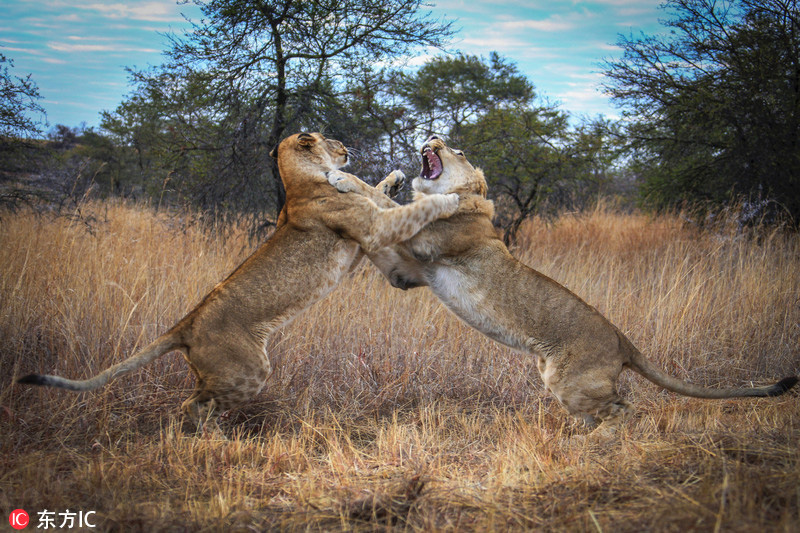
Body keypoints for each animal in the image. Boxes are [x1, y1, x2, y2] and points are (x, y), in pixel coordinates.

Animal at [15, 133, 460, 432]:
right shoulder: (371, 229)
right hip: (249, 369)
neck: (299, 181)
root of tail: (186, 325)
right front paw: (445, 199)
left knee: (196, 402)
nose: (347, 148)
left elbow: (375, 189)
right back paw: (216, 440)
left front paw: (395, 177)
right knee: (192, 407)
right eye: (332, 140)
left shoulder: (362, 239)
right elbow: (398, 208)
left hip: (220, 372)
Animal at [328, 135, 796, 434]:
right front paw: (391, 178)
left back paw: (592, 444)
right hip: (560, 383)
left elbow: (376, 201)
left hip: (567, 380)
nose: (434, 136)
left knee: (625, 410)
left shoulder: (426, 239)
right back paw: (578, 438)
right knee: (605, 412)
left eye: (458, 150)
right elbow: (378, 214)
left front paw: (343, 179)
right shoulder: (405, 273)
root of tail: (623, 341)